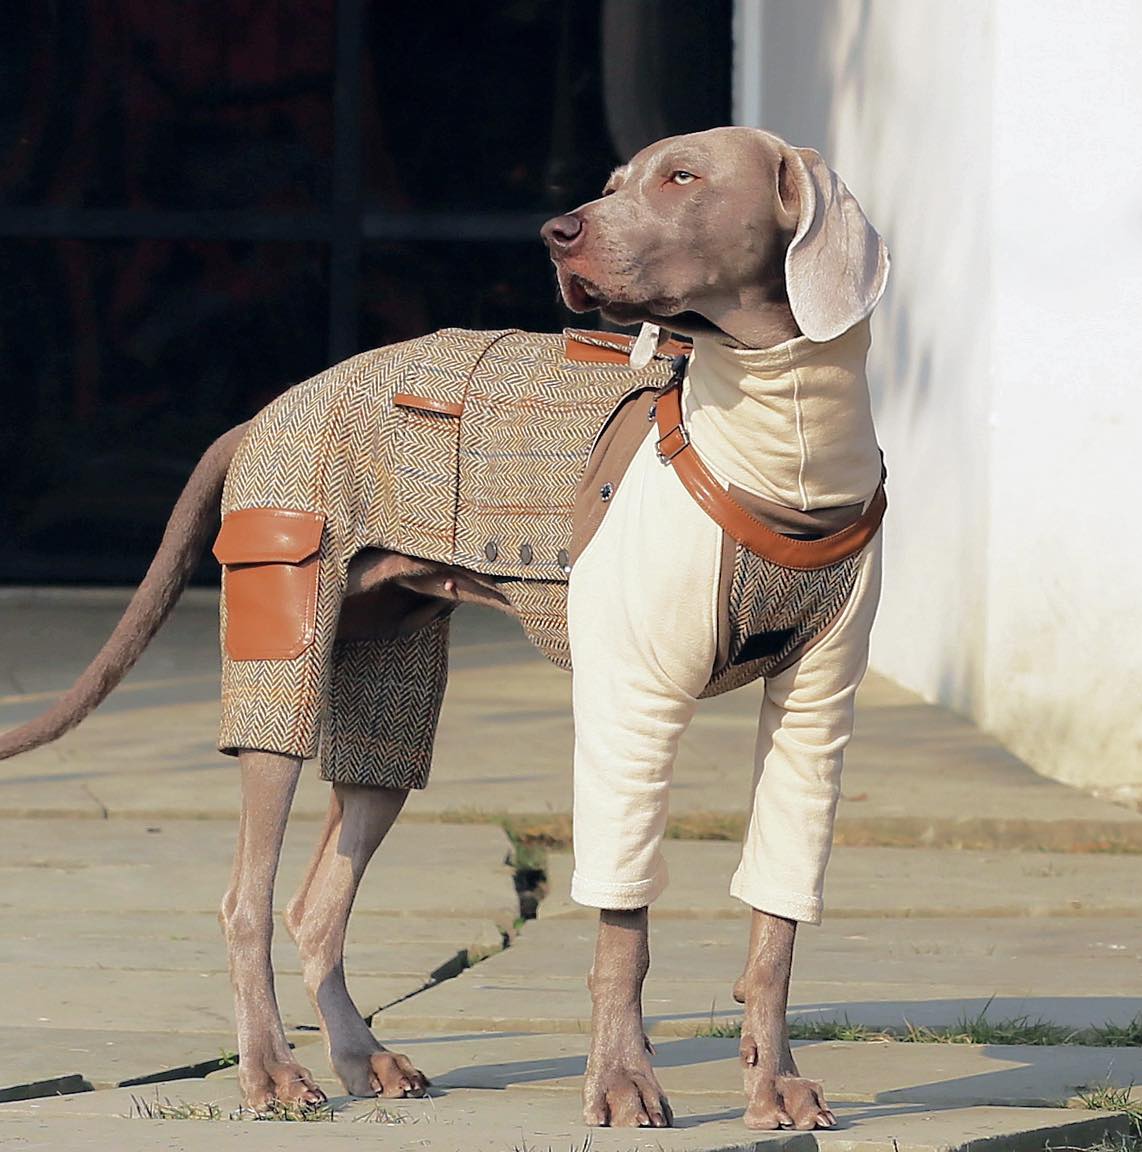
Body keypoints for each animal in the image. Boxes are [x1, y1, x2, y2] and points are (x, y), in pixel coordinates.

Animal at [0, 126, 888, 1131]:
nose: (558, 231)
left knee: (318, 903)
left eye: (682, 177)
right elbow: (623, 926)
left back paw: (364, 1058)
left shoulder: (816, 709)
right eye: (617, 180)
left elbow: (777, 922)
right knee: (247, 900)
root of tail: (270, 408)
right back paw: (271, 1073)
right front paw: (623, 1082)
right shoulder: (633, 698)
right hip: (282, 659)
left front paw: (774, 1084)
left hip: (388, 705)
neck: (783, 443)